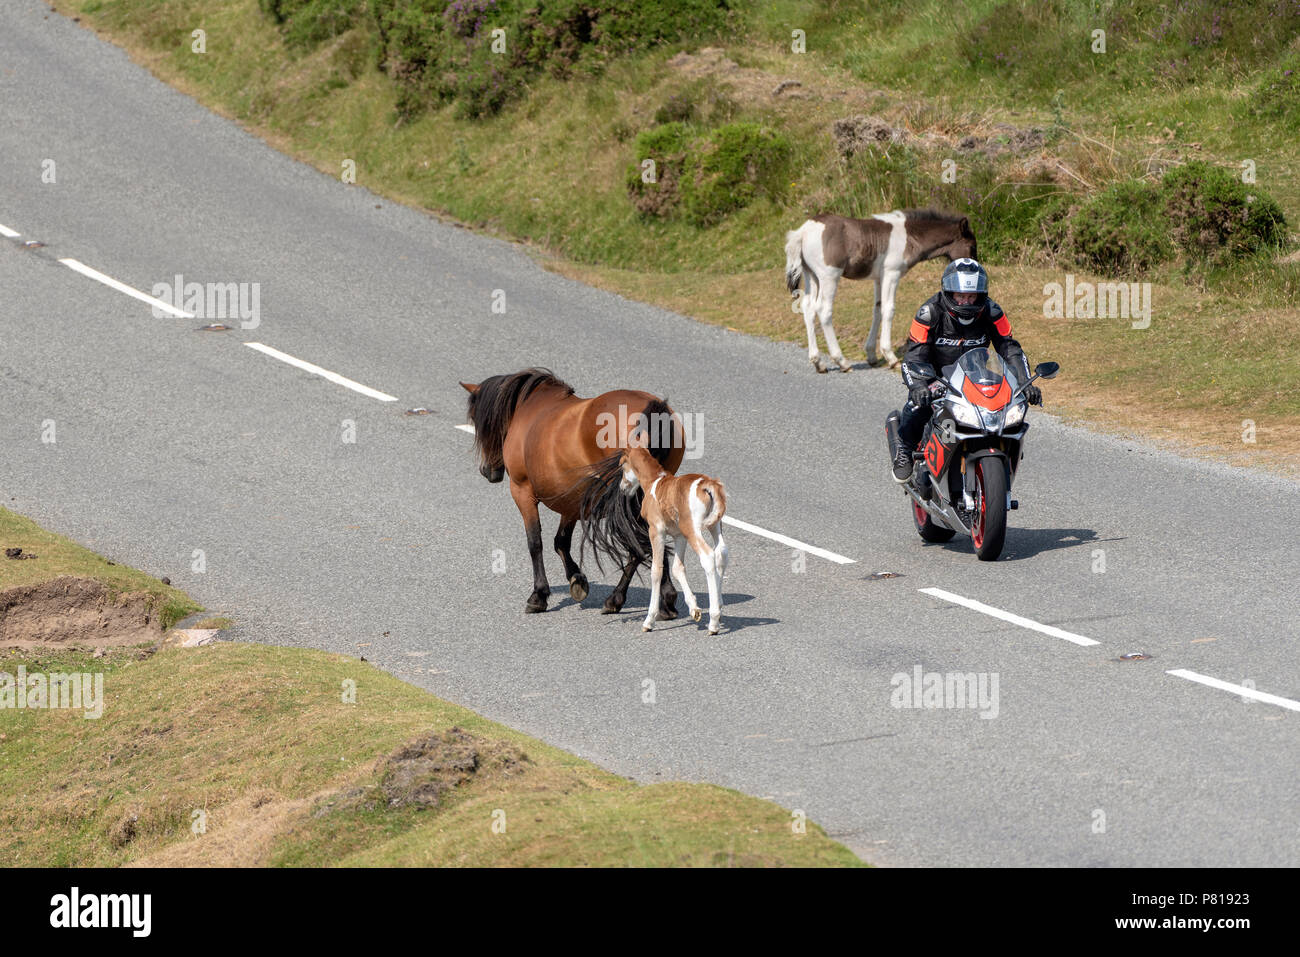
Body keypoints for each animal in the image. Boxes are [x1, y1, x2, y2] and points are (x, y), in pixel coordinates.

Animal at [462, 366, 686, 613]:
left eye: (477, 420)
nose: (487, 471)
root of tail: (654, 411)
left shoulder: (522, 491)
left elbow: (535, 543)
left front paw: (539, 594)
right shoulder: (571, 500)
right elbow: (560, 541)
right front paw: (577, 579)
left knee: (638, 545)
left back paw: (617, 598)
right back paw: (663, 599)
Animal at [621, 442, 733, 634]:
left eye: (622, 465)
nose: (622, 487)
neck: (654, 483)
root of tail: (706, 484)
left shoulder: (656, 531)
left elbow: (657, 570)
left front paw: (649, 620)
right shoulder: (679, 535)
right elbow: (677, 568)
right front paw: (694, 609)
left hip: (692, 529)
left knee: (708, 556)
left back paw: (713, 621)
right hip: (714, 525)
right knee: (721, 553)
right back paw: (719, 605)